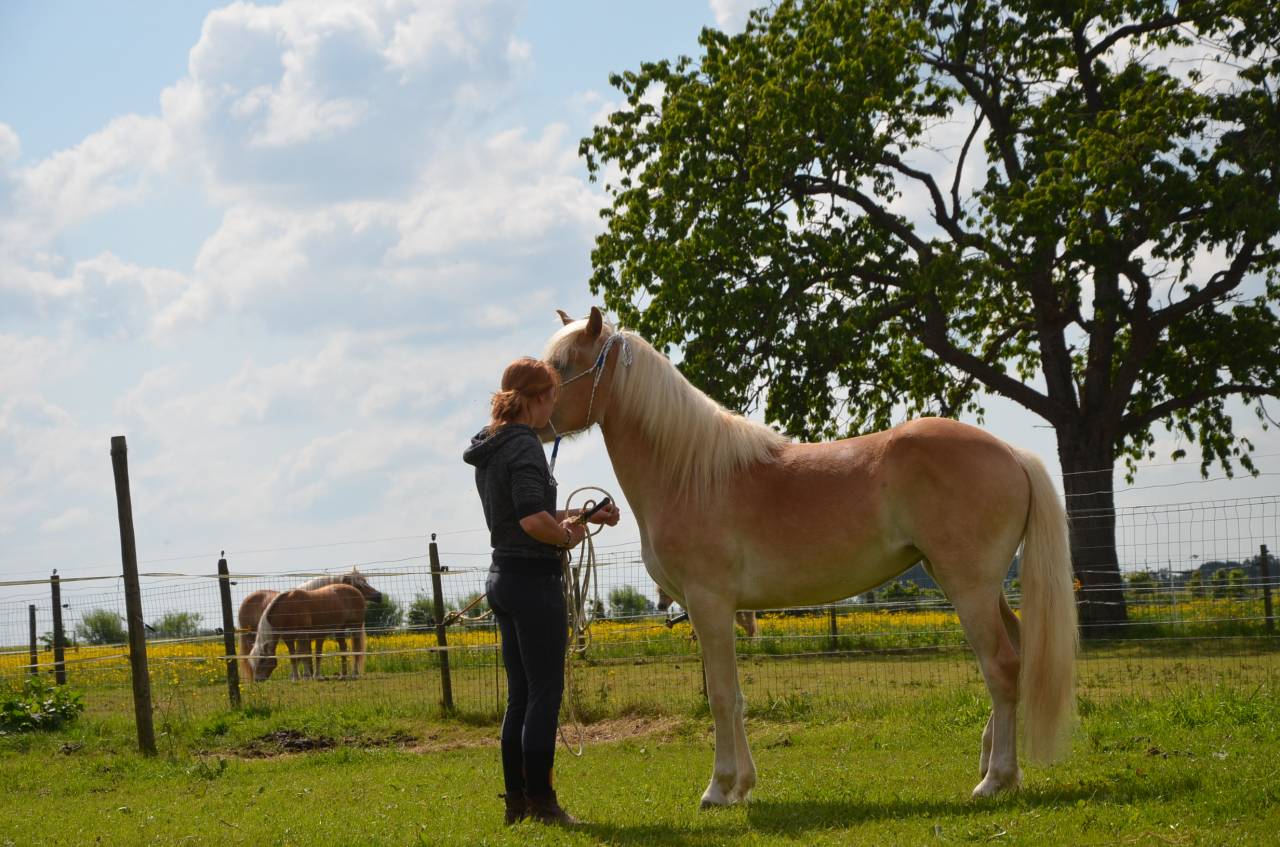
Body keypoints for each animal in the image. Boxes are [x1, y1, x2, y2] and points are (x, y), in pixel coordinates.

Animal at [238, 568, 382, 682]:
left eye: (262, 660)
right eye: (361, 584)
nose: (258, 679)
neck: (287, 607)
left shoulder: (305, 634)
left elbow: (305, 655)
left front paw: (308, 676)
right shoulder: (288, 637)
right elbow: (295, 656)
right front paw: (297, 677)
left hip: (355, 626)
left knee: (356, 650)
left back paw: (353, 674)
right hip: (340, 629)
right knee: (343, 649)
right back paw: (343, 675)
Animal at [543, 308, 1076, 806]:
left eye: (564, 365)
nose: (523, 412)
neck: (691, 474)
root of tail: (1011, 453)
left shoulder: (709, 604)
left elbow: (722, 697)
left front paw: (718, 789)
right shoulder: (718, 611)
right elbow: (735, 695)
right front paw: (742, 786)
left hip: (968, 585)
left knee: (1000, 667)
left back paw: (995, 779)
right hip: (978, 586)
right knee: (1017, 655)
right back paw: (995, 766)